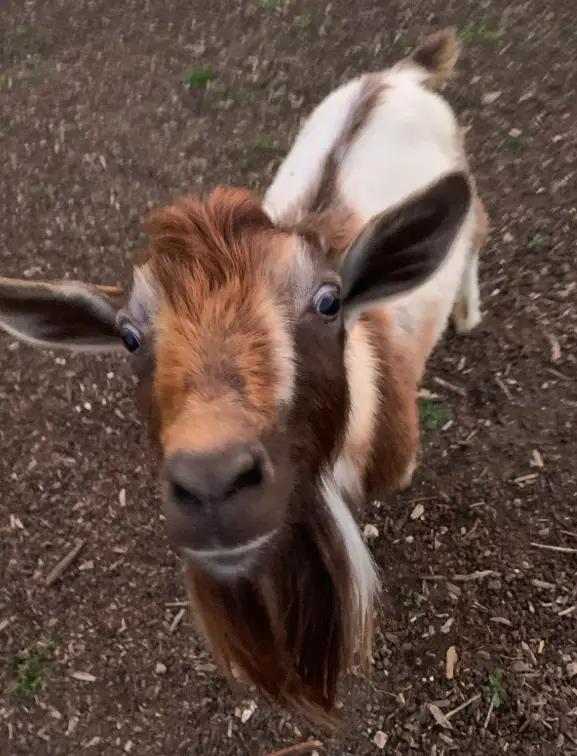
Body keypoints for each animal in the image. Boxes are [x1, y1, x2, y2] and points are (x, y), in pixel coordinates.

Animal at [0, 29, 488, 723]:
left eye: (329, 302)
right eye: (128, 336)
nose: (212, 483)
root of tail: (400, 75)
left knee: (476, 227)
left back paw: (468, 311)